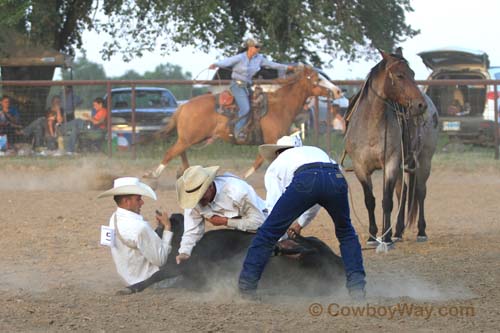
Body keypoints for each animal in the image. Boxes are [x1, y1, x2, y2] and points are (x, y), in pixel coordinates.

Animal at [143, 65, 342, 179]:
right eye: (318, 78)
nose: (338, 91)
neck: (280, 105)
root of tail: (183, 106)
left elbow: (261, 159)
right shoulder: (272, 138)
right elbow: (261, 160)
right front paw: (246, 177)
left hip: (189, 138)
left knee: (179, 152)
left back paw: (184, 171)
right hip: (189, 138)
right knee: (171, 153)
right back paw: (153, 175)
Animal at [344, 49, 438, 246]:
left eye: (413, 74)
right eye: (400, 75)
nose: (420, 105)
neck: (370, 125)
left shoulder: (391, 163)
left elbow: (386, 201)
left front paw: (385, 238)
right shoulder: (360, 168)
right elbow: (370, 201)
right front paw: (373, 236)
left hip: (424, 160)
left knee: (420, 191)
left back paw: (421, 232)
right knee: (403, 191)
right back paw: (398, 231)